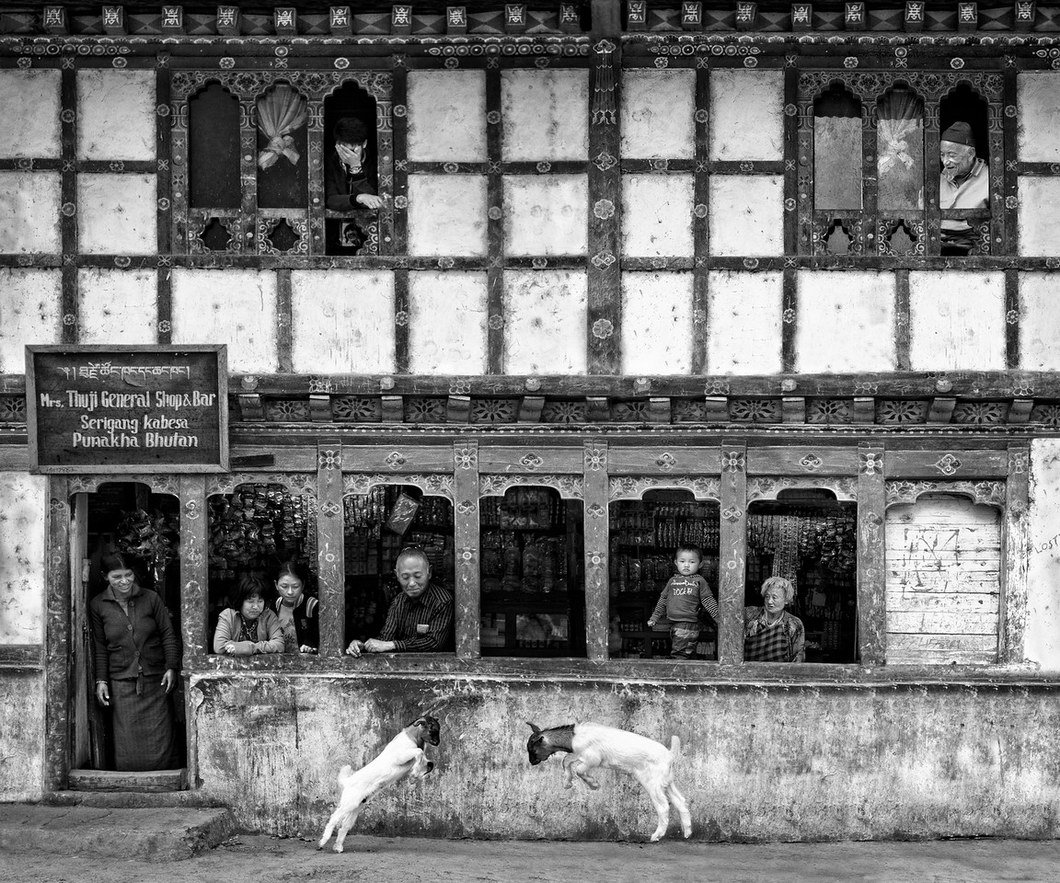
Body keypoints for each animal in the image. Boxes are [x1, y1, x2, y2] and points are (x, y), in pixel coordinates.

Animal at [525, 720, 691, 835]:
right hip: (667, 782)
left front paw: (593, 784)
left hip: (653, 783)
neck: (573, 737)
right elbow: (566, 761)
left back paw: (657, 835)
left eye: (533, 750)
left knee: (663, 806)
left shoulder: (592, 758)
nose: (531, 762)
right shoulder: (578, 754)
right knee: (680, 801)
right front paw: (567, 782)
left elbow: (578, 769)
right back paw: (687, 832)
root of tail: (669, 755)